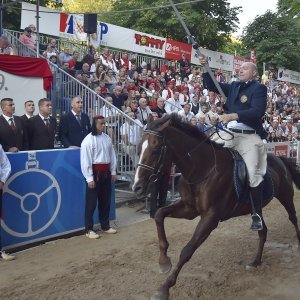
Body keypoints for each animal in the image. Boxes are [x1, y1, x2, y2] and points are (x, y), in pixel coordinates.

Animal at [132, 114, 300, 300]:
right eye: (138, 149)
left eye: (155, 149)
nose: (137, 187)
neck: (202, 169)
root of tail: (278, 159)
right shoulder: (189, 209)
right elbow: (159, 214)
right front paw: (163, 261)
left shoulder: (211, 217)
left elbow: (187, 250)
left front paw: (164, 288)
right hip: (257, 209)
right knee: (263, 231)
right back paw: (256, 261)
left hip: (286, 196)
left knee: (293, 218)